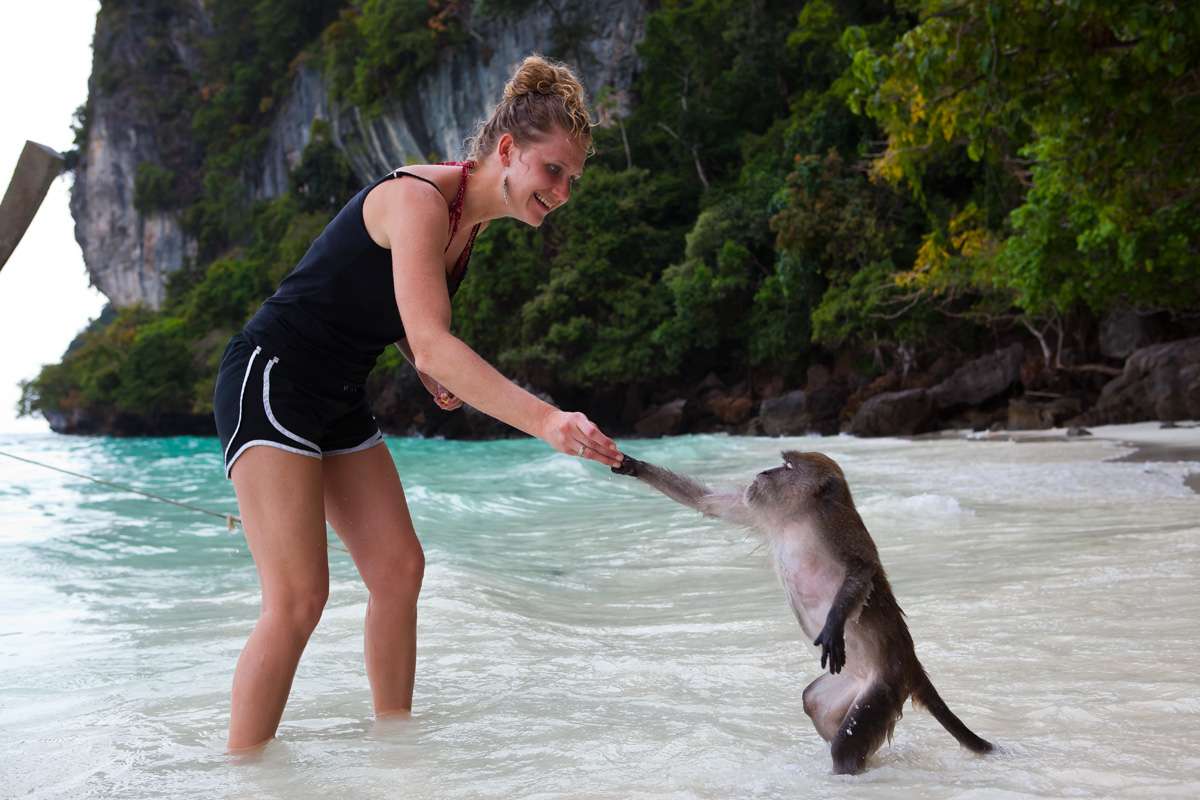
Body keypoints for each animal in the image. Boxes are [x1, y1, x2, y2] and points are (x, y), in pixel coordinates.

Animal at [612, 450, 994, 775]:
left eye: (787, 465)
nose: (764, 471)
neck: (799, 515)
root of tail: (909, 660)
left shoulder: (834, 522)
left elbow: (861, 568)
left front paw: (834, 623)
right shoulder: (765, 509)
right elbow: (705, 502)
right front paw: (632, 464)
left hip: (884, 686)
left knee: (846, 744)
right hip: (852, 682)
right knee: (814, 702)